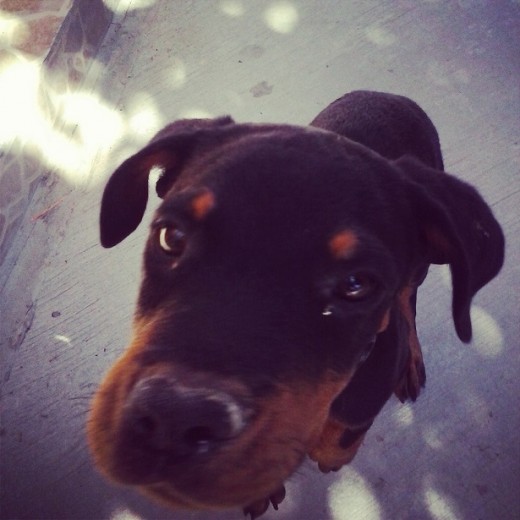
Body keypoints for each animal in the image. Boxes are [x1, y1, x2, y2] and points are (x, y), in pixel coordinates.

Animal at [88, 91, 504, 516]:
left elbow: (339, 437)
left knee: (407, 299)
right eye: (171, 236)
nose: (175, 418)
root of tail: (392, 96)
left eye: (356, 285)